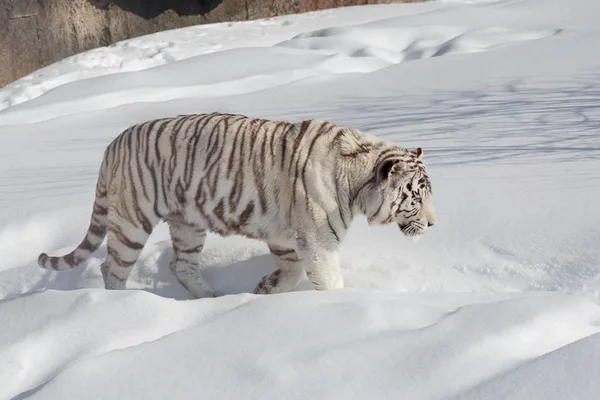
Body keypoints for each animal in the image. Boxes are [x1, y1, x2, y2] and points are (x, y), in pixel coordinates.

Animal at [39, 112, 438, 296]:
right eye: (416, 196)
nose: (434, 224)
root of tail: (111, 145)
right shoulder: (318, 238)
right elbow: (327, 278)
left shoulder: (285, 234)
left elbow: (292, 270)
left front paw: (265, 288)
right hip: (132, 221)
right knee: (113, 269)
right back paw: (125, 305)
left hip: (188, 224)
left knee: (181, 266)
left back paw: (211, 297)